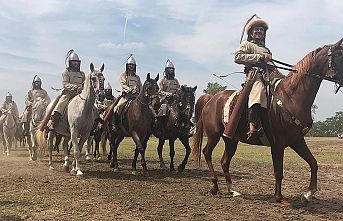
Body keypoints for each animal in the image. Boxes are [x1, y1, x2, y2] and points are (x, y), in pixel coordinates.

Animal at [192, 38, 343, 205]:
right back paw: (214, 186)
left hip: (231, 140)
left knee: (225, 161)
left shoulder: (297, 140)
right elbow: (278, 171)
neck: (291, 97)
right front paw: (279, 197)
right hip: (214, 135)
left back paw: (233, 190)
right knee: (207, 153)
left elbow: (313, 163)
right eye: (340, 56)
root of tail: (211, 99)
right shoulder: (277, 144)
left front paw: (307, 194)